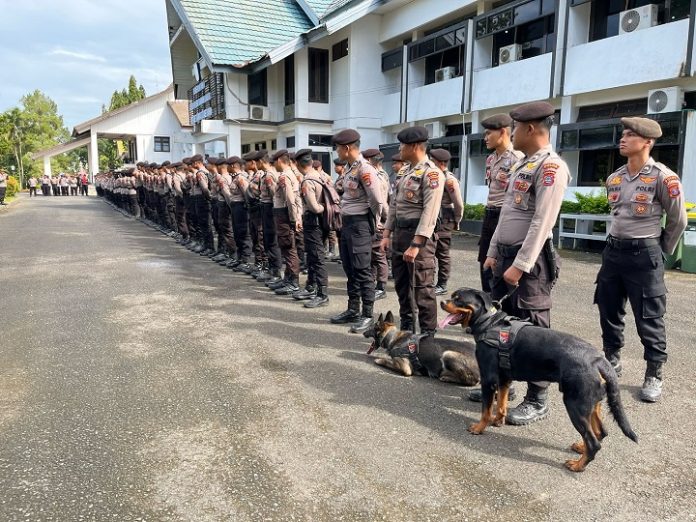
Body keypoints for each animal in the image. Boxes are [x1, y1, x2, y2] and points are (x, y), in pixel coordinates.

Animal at [440, 286, 636, 470]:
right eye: (453, 296)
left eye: (458, 299)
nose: (442, 302)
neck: (488, 323)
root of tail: (598, 360)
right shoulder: (504, 379)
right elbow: (501, 404)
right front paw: (498, 421)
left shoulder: (489, 380)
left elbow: (486, 410)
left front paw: (479, 428)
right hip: (591, 404)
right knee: (601, 432)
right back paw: (581, 448)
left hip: (575, 404)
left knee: (594, 442)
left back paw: (577, 465)